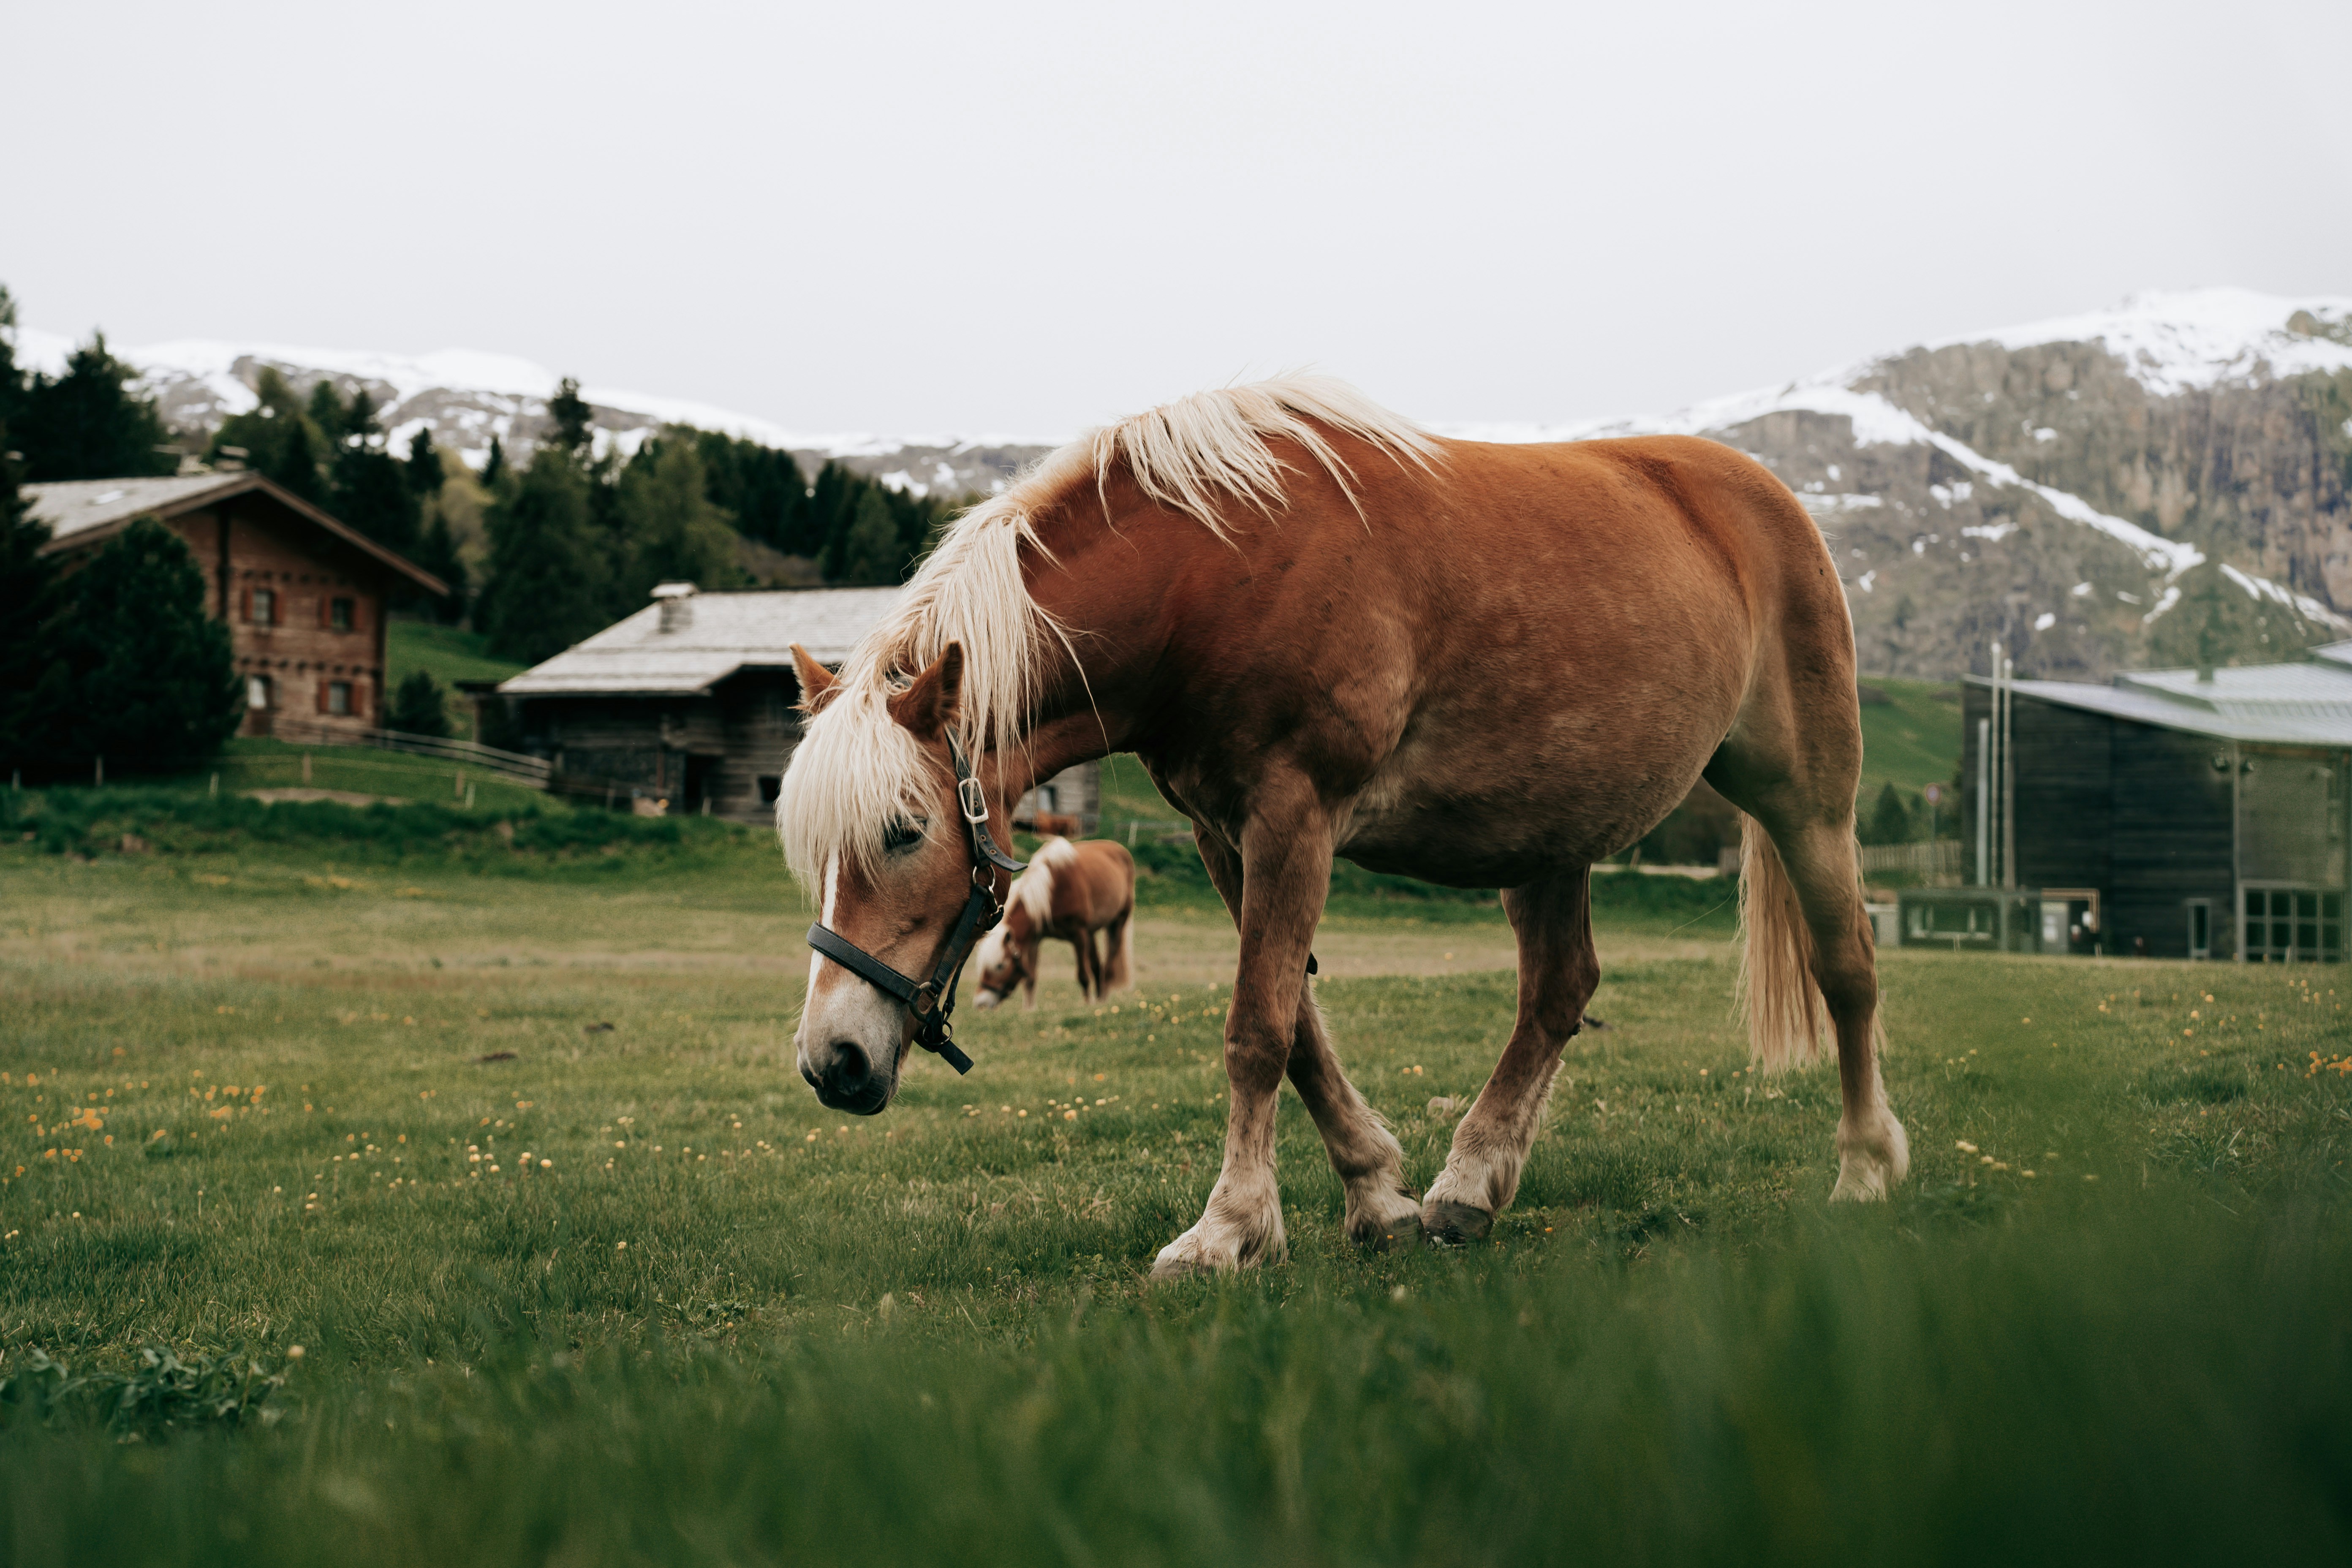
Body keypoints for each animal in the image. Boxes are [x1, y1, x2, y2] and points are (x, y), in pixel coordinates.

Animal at [970, 837, 1137, 1010]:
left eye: (1000, 966)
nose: (981, 1003)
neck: (1054, 891)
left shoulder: (1079, 935)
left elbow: (1083, 976)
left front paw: (1086, 1005)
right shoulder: (1034, 940)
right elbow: (1030, 978)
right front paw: (1030, 1010)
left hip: (1118, 922)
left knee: (1109, 966)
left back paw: (1103, 1000)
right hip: (1091, 933)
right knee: (1097, 966)